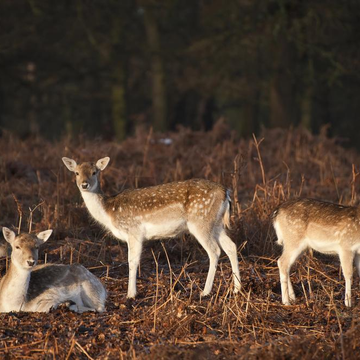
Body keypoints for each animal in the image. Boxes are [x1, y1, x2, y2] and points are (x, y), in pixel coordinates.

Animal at [62, 156, 242, 300]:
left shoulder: (133, 231)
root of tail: (226, 192)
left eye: (94, 172)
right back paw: (237, 289)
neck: (109, 212)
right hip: (216, 224)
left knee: (215, 251)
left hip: (200, 221)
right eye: (76, 173)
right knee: (231, 246)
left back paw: (205, 292)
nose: (84, 184)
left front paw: (131, 294)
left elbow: (132, 261)